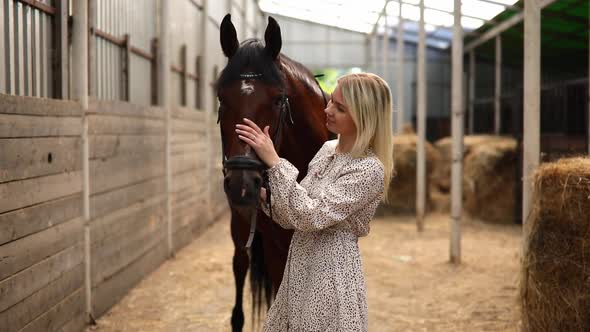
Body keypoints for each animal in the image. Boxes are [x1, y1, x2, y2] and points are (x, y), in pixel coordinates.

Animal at [217, 14, 332, 330]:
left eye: (279, 99)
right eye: (221, 99)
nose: (242, 184)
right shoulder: (274, 245)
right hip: (241, 229)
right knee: (240, 267)